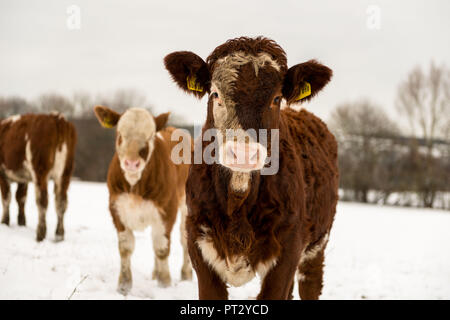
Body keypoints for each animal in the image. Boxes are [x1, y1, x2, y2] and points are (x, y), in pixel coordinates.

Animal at [94, 107, 192, 296]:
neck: (135, 185)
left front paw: (165, 283)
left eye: (150, 136)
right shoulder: (117, 208)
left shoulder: (167, 210)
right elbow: (125, 248)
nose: (131, 163)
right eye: (120, 134)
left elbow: (162, 248)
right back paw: (155, 273)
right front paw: (124, 286)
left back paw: (186, 274)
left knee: (184, 239)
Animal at [164, 37, 338, 300]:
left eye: (276, 98)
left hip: (317, 246)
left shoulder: (290, 248)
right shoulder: (197, 240)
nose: (244, 154)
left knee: (310, 283)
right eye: (215, 93)